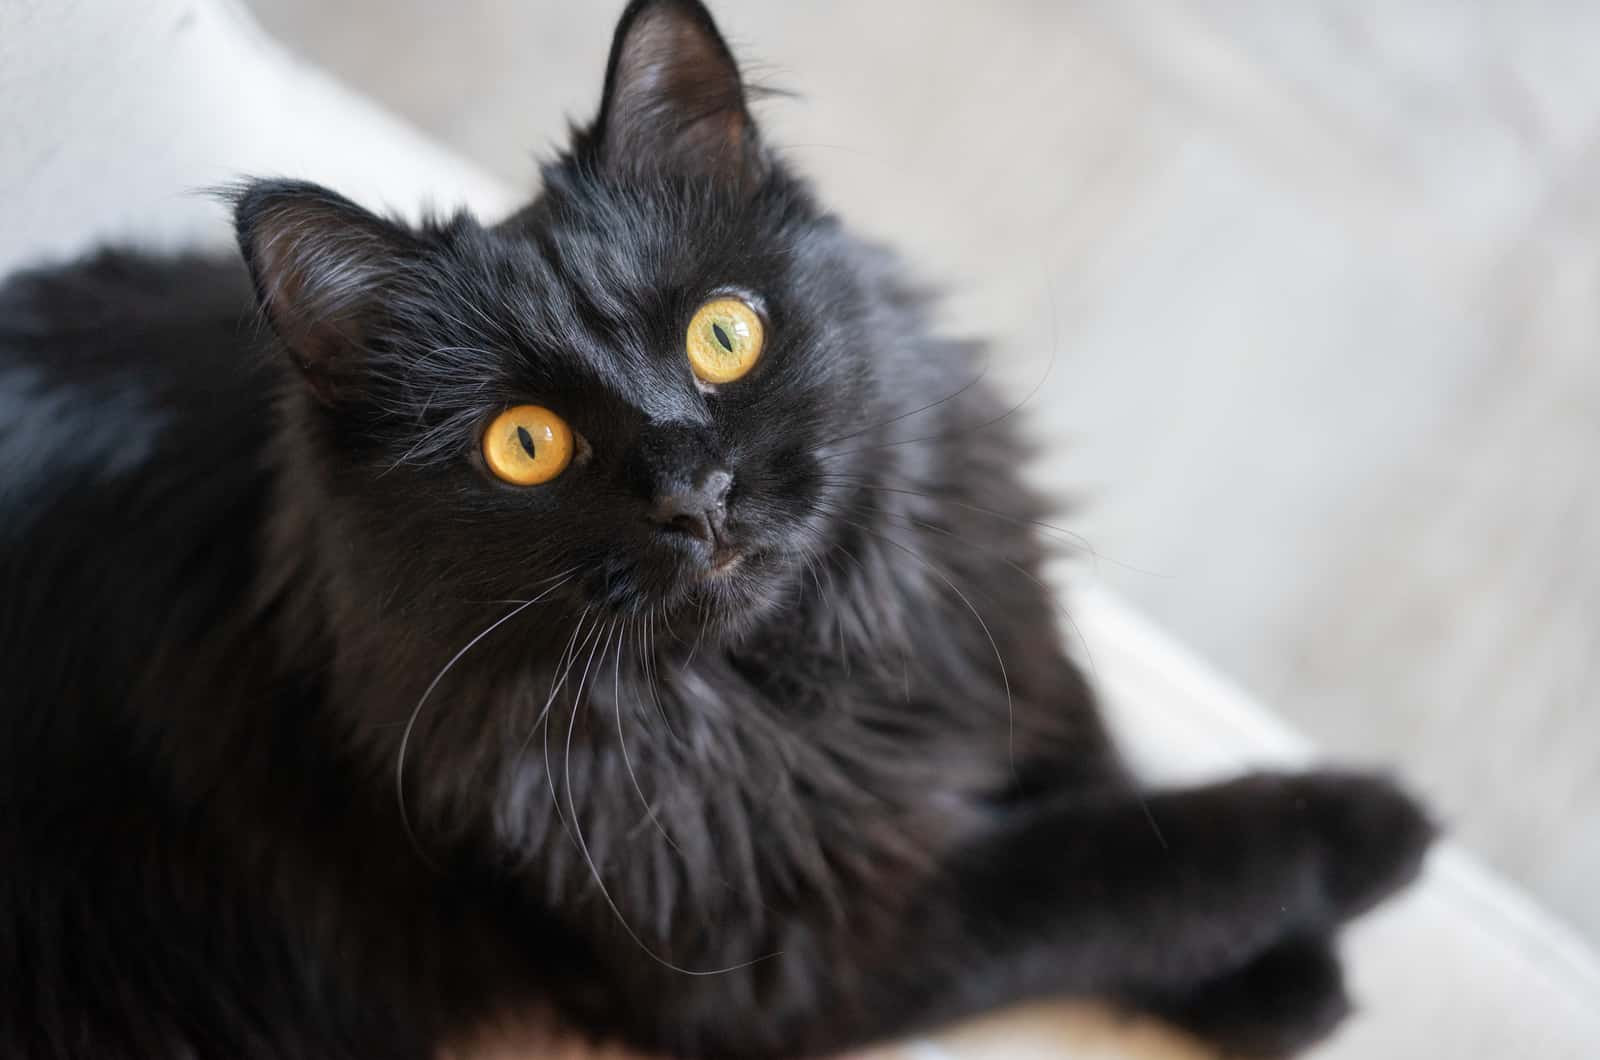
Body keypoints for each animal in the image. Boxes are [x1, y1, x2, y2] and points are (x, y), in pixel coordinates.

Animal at [0, 2, 1427, 1060]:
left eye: (723, 335)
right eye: (526, 444)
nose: (696, 490)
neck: (781, 689)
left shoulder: (981, 626)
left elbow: (1093, 764)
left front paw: (1282, 980)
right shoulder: (795, 951)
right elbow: (1112, 865)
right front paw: (1362, 833)